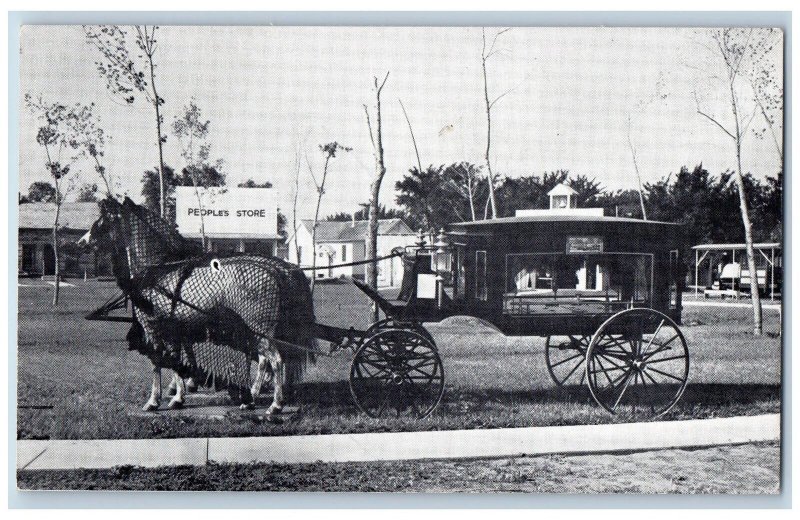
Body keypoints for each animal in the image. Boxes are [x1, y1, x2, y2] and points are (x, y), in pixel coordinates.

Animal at [83, 197, 316, 412]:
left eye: (102, 221)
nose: (82, 242)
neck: (161, 269)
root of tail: (278, 272)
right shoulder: (176, 329)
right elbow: (178, 360)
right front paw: (179, 395)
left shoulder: (154, 327)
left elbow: (158, 361)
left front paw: (154, 400)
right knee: (265, 360)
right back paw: (252, 397)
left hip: (260, 332)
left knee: (274, 360)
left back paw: (273, 404)